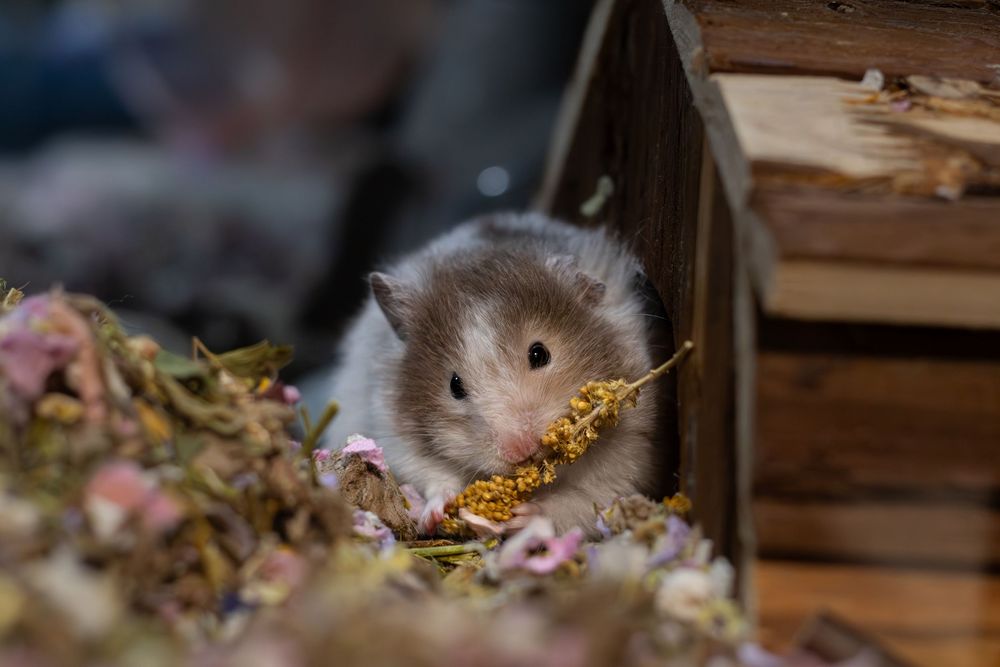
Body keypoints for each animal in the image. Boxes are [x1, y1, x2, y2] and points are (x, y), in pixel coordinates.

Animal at [325, 212, 662, 536]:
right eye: (454, 385)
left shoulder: (629, 454)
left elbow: (587, 499)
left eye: (539, 353)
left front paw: (525, 517)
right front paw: (437, 513)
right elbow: (433, 474)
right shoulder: (395, 436)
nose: (521, 452)